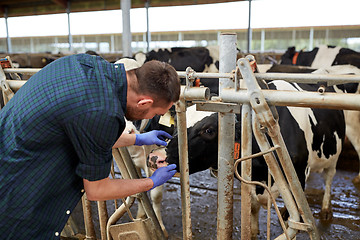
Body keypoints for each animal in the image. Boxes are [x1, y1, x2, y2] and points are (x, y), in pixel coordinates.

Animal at [150, 82, 346, 238]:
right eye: (177, 122)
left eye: (209, 130)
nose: (156, 157)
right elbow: (251, 209)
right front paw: (252, 231)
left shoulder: (298, 175)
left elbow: (297, 217)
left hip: (334, 155)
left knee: (329, 177)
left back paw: (326, 209)